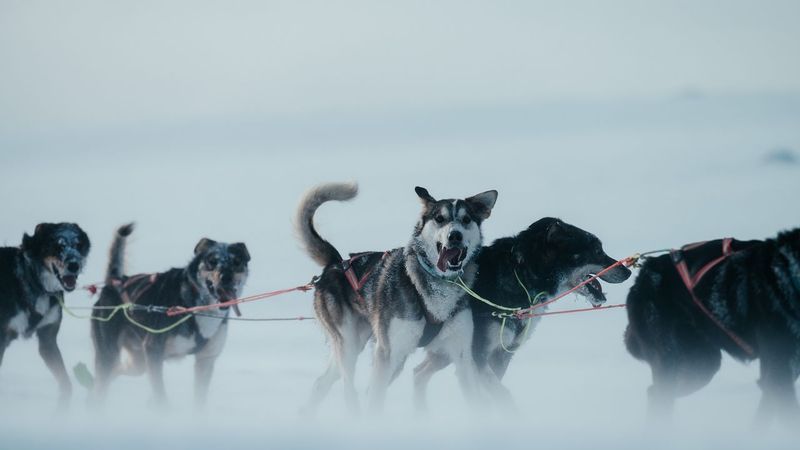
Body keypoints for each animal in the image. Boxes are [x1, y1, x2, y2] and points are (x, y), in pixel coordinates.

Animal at [0, 222, 91, 408]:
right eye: (58, 245)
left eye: (78, 245)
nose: (74, 264)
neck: (36, 283)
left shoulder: (47, 340)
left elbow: (66, 384)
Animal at [90, 224, 250, 408]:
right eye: (212, 261)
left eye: (237, 261)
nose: (226, 277)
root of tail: (114, 282)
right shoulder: (153, 351)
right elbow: (161, 396)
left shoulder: (206, 360)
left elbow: (199, 402)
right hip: (110, 355)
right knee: (103, 380)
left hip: (137, 363)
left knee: (114, 373)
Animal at [296, 181, 496, 414]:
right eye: (440, 218)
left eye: (466, 219)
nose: (455, 235)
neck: (437, 290)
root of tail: (336, 263)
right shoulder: (387, 352)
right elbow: (375, 402)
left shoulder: (462, 356)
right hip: (350, 346)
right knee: (350, 391)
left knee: (322, 383)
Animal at [412, 217, 632, 408]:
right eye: (597, 250)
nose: (628, 271)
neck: (520, 277)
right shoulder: (477, 355)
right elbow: (497, 396)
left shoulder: (501, 354)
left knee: (419, 373)